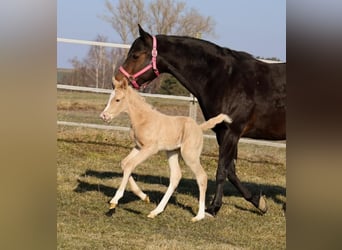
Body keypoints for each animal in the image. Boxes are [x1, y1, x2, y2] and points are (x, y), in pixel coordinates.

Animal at [99, 78, 232, 221]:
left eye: (117, 99)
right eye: (110, 98)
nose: (104, 116)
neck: (143, 119)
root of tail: (199, 127)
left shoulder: (150, 148)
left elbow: (130, 165)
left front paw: (114, 201)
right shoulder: (139, 147)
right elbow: (124, 164)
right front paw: (144, 197)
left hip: (189, 155)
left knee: (201, 176)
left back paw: (199, 216)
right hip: (172, 152)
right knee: (175, 177)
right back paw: (156, 211)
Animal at [113, 25, 284, 217]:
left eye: (136, 55)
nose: (117, 81)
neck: (225, 79)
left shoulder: (231, 132)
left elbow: (222, 170)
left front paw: (213, 208)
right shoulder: (222, 133)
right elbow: (231, 170)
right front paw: (258, 202)